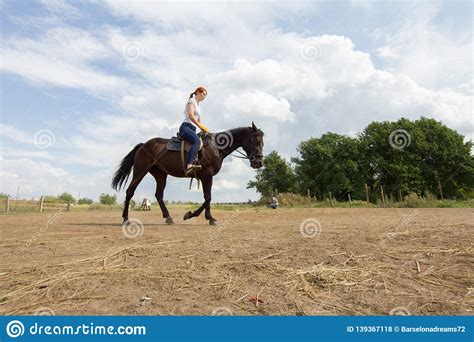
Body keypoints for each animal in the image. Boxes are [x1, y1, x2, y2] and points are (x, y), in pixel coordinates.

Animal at [112, 121, 264, 226]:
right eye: (256, 141)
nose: (259, 162)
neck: (216, 147)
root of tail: (143, 145)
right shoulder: (207, 175)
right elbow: (208, 197)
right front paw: (204, 217)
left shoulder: (206, 177)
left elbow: (207, 198)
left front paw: (195, 215)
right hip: (140, 171)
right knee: (130, 191)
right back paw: (126, 218)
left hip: (160, 175)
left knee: (159, 195)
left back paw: (168, 217)